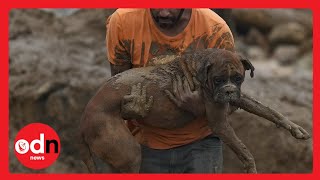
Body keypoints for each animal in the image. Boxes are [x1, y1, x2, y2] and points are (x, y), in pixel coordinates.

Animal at [78, 48, 310, 174]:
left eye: (238, 78)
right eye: (218, 80)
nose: (228, 91)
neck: (201, 68)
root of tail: (84, 118)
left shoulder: (239, 97)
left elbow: (269, 111)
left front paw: (294, 128)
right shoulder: (220, 123)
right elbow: (245, 152)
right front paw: (251, 169)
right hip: (130, 152)